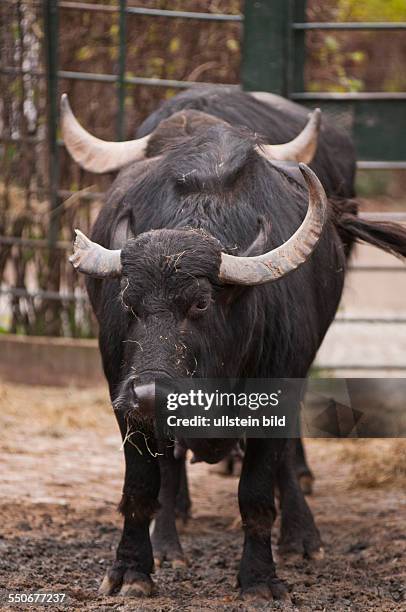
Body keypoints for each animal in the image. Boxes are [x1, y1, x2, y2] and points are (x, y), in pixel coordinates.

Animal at [61, 87, 404, 604]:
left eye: (201, 303)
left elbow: (257, 493)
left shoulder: (276, 391)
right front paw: (134, 569)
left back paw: (302, 536)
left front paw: (261, 578)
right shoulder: (123, 400)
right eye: (128, 300)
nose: (152, 393)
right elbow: (142, 488)